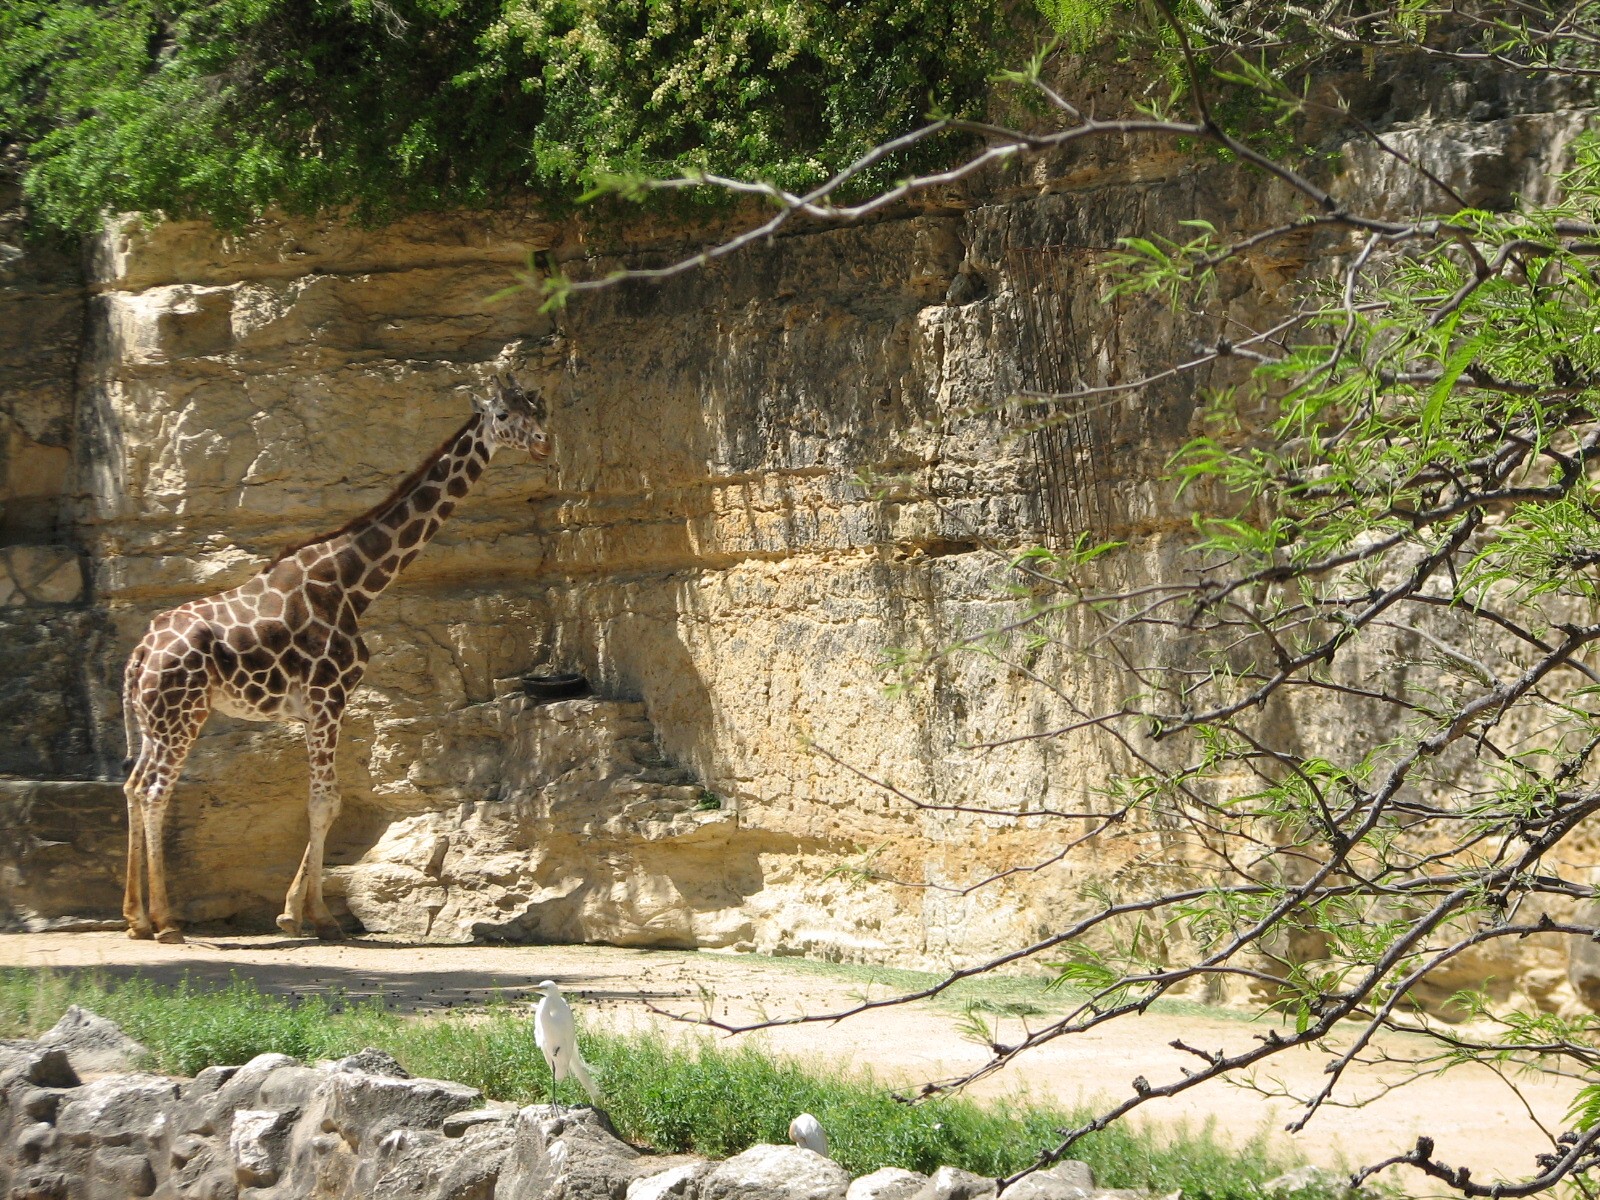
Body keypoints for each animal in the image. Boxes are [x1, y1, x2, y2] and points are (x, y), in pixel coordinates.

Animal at [120, 374, 551, 943]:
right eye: (503, 415)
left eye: (538, 408)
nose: (545, 444)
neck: (353, 583)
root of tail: (140, 653)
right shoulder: (329, 695)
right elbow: (325, 802)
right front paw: (318, 917)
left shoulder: (314, 709)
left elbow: (324, 800)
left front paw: (291, 913)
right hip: (182, 715)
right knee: (154, 792)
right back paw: (167, 923)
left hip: (155, 721)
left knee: (131, 786)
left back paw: (135, 918)